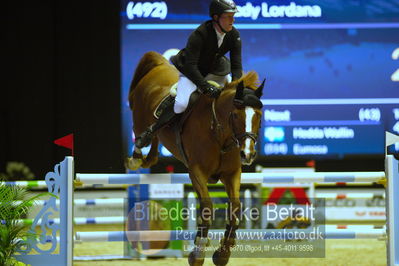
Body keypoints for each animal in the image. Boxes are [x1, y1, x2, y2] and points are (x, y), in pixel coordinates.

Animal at [126, 51, 266, 264]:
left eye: (259, 115)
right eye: (235, 115)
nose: (247, 154)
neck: (219, 136)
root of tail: (159, 64)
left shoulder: (232, 173)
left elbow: (235, 207)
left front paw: (223, 253)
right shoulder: (197, 172)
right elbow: (207, 207)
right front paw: (198, 252)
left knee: (156, 138)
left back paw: (150, 159)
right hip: (139, 116)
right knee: (140, 132)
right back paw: (136, 156)